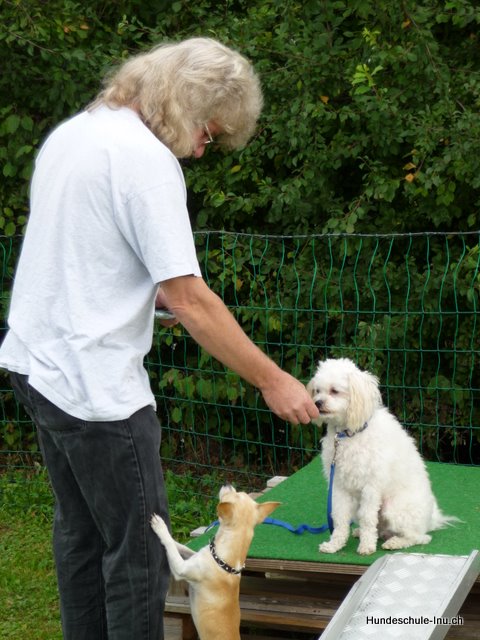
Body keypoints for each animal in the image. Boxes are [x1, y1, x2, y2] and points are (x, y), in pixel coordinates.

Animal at [151, 485, 279, 640]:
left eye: (233, 494)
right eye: (238, 492)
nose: (227, 484)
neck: (225, 563)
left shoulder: (180, 568)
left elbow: (170, 545)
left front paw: (160, 527)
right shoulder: (193, 557)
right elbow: (180, 546)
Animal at [307, 357, 458, 555]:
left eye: (334, 391)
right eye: (317, 391)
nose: (317, 403)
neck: (349, 434)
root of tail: (430, 520)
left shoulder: (371, 487)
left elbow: (367, 518)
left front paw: (366, 547)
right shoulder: (339, 485)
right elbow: (339, 517)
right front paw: (335, 544)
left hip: (393, 508)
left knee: (420, 537)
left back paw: (394, 542)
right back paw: (362, 532)